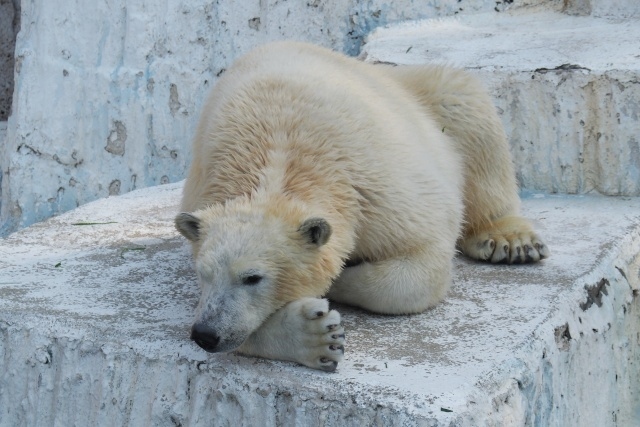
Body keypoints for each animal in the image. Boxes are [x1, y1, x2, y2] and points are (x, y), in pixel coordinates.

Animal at [175, 41, 552, 372]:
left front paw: (338, 283)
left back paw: (510, 239)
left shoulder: (374, 188)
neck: (280, 155)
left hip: (421, 96)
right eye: (204, 272)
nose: (206, 334)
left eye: (253, 277)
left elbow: (421, 265)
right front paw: (311, 336)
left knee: (463, 99)